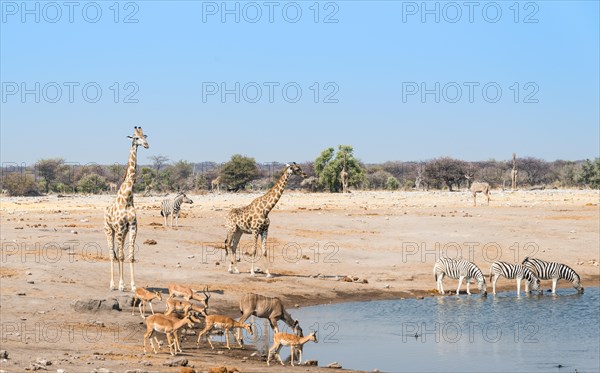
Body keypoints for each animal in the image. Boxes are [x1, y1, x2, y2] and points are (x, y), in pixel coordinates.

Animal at [103, 126, 149, 292]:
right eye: (136, 138)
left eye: (145, 136)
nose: (146, 145)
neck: (128, 196)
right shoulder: (120, 227)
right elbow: (121, 256)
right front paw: (122, 285)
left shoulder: (132, 227)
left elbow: (130, 256)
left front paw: (133, 285)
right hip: (109, 230)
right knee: (112, 254)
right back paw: (112, 284)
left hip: (120, 232)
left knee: (118, 252)